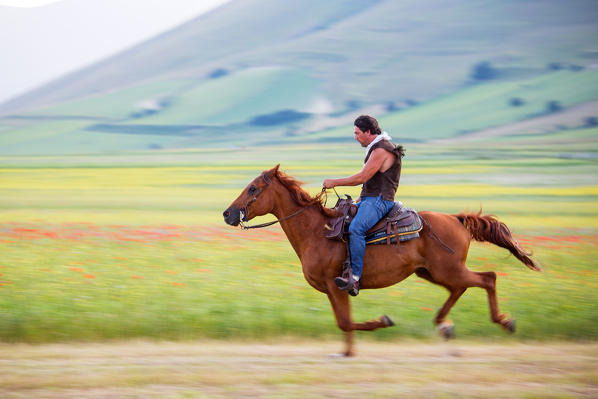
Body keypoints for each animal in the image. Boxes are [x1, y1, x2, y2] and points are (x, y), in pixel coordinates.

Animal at [223, 166, 540, 356]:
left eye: (253, 188)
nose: (228, 213)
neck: (316, 231)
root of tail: (456, 219)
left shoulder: (337, 285)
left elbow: (345, 322)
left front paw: (382, 322)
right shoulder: (335, 289)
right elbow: (345, 322)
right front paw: (348, 352)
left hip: (448, 270)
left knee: (488, 278)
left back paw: (504, 322)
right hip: (433, 272)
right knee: (461, 288)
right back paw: (444, 325)